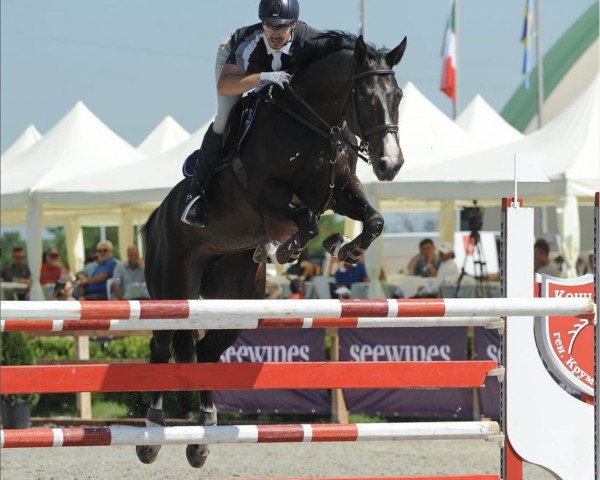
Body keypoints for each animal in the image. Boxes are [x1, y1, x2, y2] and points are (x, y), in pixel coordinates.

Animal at [137, 34, 408, 468]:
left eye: (397, 95)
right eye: (365, 96)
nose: (389, 164)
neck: (312, 125)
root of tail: (155, 218)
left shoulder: (342, 191)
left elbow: (374, 220)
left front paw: (344, 248)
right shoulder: (267, 194)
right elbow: (309, 220)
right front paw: (289, 250)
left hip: (236, 300)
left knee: (206, 350)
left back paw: (203, 435)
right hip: (171, 290)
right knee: (161, 347)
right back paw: (151, 433)